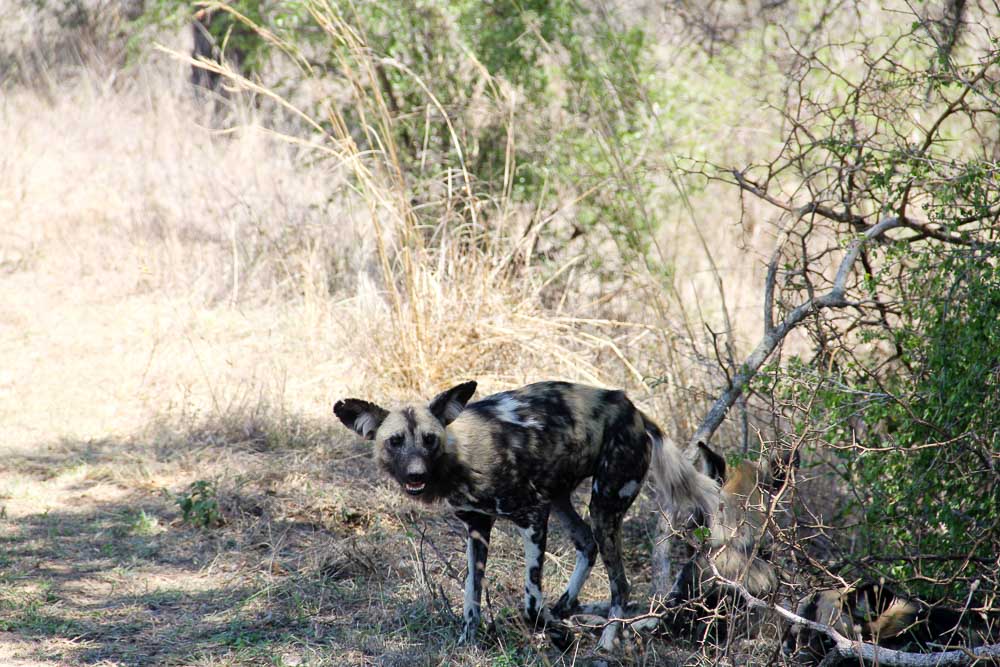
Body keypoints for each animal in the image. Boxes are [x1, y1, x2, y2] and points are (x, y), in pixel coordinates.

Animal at [336, 384, 720, 648]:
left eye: (429, 439)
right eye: (396, 441)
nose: (416, 474)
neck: (459, 459)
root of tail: (633, 409)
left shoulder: (533, 518)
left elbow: (531, 606)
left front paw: (558, 634)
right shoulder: (477, 527)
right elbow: (471, 595)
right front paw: (469, 641)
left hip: (603, 507)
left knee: (620, 585)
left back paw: (606, 639)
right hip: (562, 499)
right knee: (587, 544)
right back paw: (564, 608)